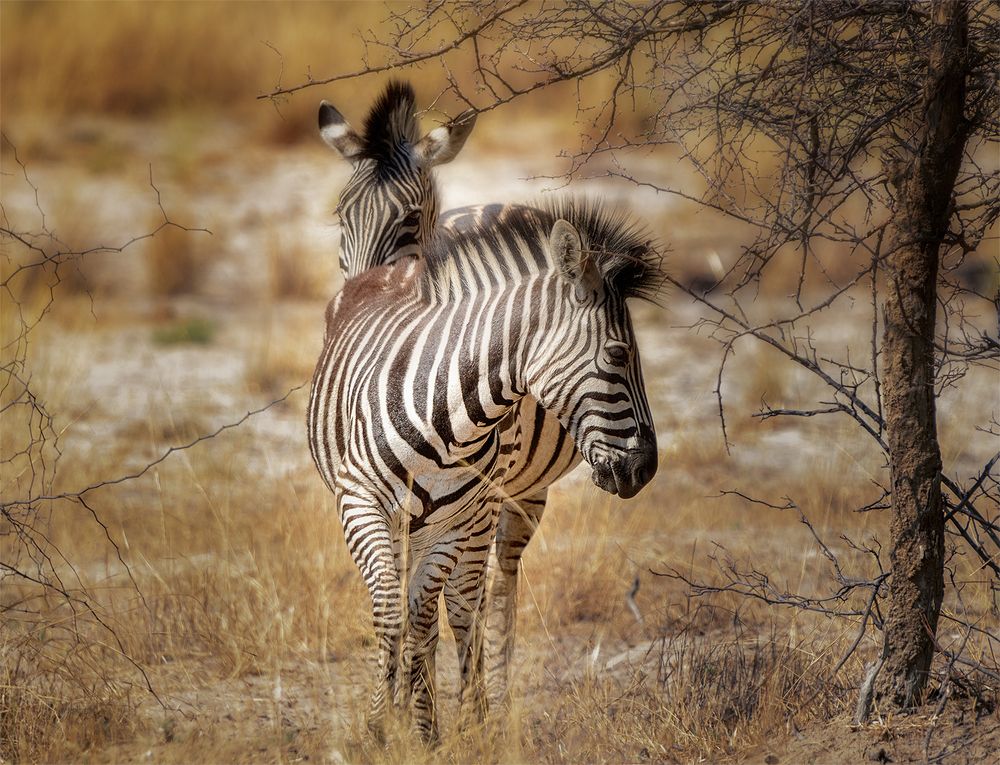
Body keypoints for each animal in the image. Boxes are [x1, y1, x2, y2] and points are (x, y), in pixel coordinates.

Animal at [308, 197, 660, 740]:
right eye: (618, 354)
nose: (646, 468)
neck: (450, 408)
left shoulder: (460, 520)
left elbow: (434, 614)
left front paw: (431, 728)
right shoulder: (359, 500)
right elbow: (392, 610)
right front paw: (381, 727)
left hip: (513, 502)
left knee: (493, 593)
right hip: (405, 519)